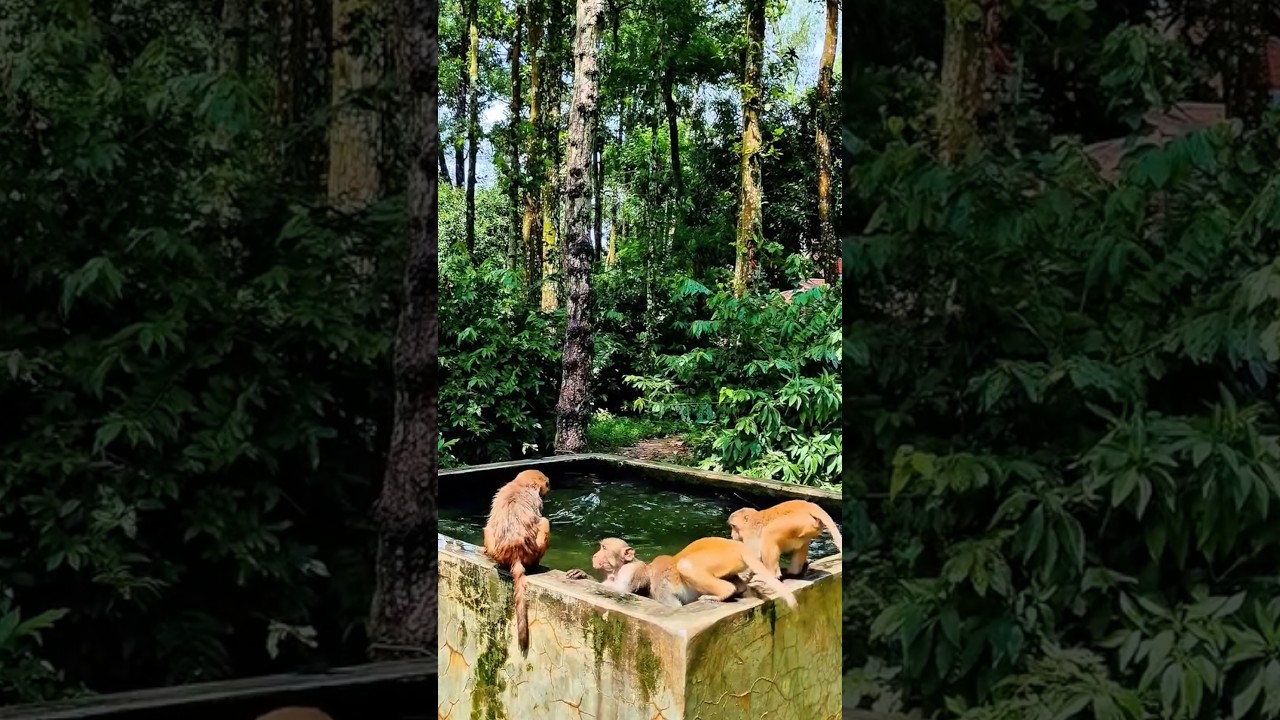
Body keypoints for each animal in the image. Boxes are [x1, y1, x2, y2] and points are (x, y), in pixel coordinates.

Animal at [482, 469, 552, 654]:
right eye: (546, 485)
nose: (547, 491)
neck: (520, 485)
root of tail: (516, 552)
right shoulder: (536, 499)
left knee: (488, 529)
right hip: (534, 551)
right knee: (545, 522)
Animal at [649, 537, 798, 610]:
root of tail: (738, 547)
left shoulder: (660, 585)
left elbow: (673, 603)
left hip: (720, 557)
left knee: (685, 565)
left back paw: (724, 592)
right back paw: (740, 588)